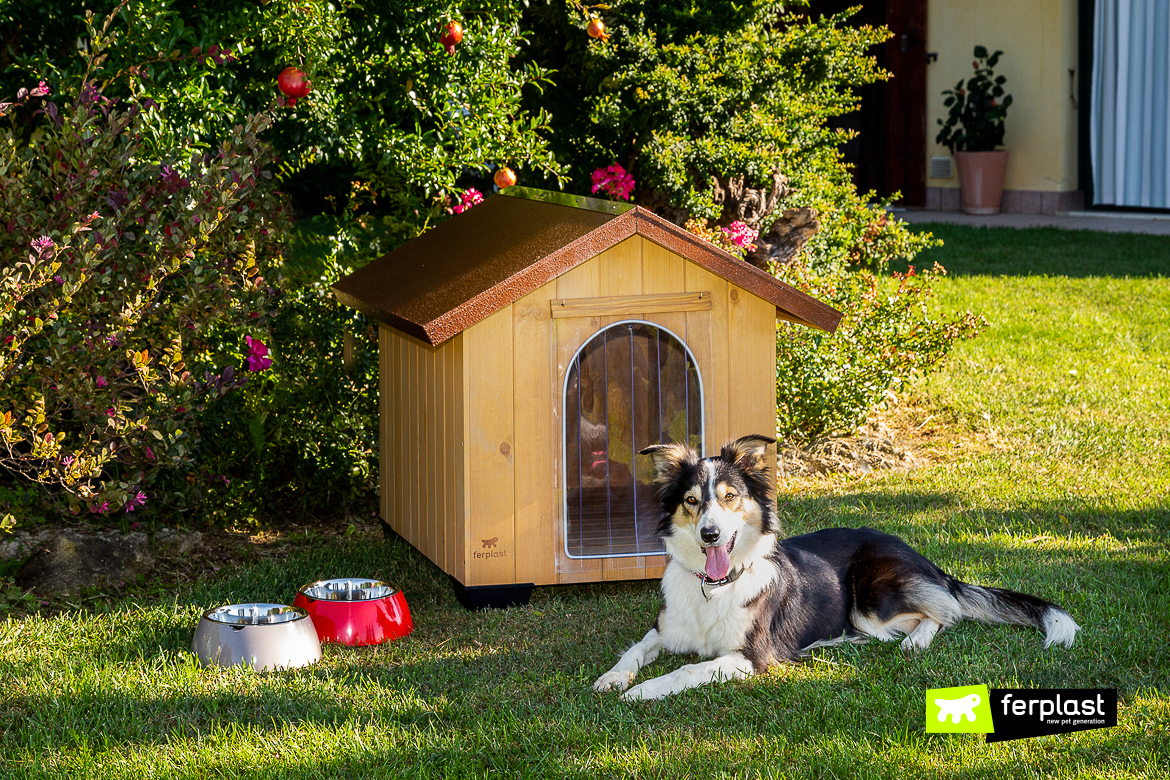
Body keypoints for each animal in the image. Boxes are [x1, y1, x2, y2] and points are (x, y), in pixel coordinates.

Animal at [594, 432, 1076, 701]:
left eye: (730, 496)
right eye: (692, 501)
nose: (710, 534)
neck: (715, 587)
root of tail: (920, 556)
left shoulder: (750, 656)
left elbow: (687, 668)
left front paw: (642, 690)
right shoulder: (664, 630)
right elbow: (634, 649)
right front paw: (613, 678)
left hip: (871, 603)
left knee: (945, 611)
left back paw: (915, 641)